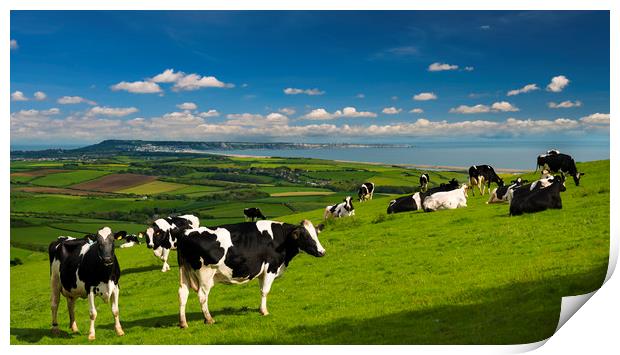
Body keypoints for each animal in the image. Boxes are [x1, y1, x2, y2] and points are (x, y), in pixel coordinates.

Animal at [177, 221, 326, 330]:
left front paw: (261, 309)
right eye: (306, 236)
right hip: (205, 274)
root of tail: (185, 233)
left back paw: (183, 323)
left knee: (183, 294)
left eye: (316, 234)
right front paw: (264, 311)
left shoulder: (262, 272)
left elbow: (261, 290)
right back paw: (209, 319)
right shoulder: (271, 268)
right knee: (202, 296)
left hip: (184, 272)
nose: (322, 252)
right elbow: (265, 291)